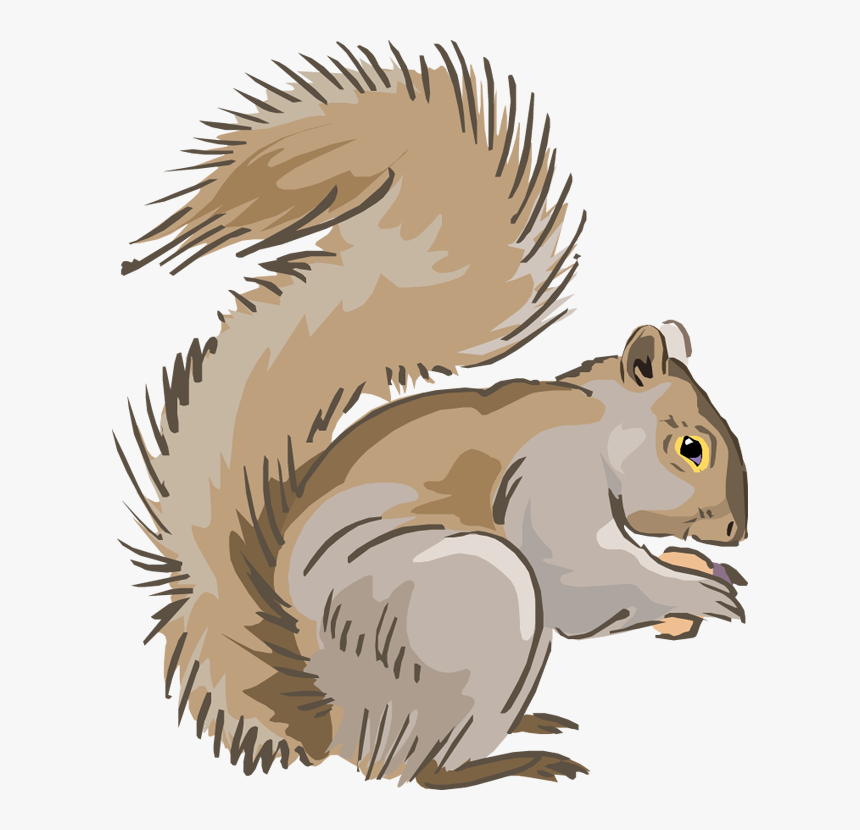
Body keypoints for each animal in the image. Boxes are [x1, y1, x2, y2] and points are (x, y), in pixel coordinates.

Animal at [116, 42, 749, 789]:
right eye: (690, 449)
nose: (736, 531)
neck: (594, 427)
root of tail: (333, 721)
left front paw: (703, 570)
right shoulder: (551, 478)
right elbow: (583, 581)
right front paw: (697, 592)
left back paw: (530, 724)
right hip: (479, 597)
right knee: (424, 772)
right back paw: (515, 761)